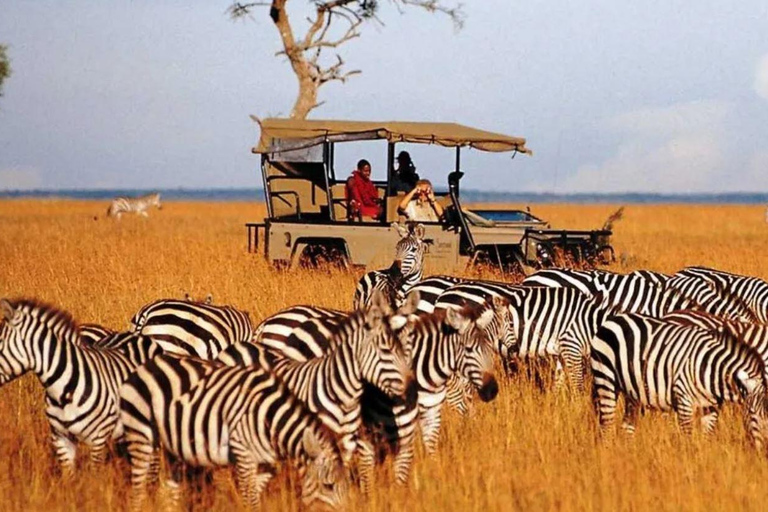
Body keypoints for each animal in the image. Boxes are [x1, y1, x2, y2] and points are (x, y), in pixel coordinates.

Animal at [0, 298, 162, 474]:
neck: (63, 392)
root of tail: (138, 336)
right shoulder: (61, 438)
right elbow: (68, 476)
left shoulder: (98, 438)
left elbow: (94, 474)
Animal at [120, 354, 348, 510]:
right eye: (328, 486)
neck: (270, 421)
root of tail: (146, 365)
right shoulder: (243, 454)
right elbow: (250, 501)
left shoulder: (266, 465)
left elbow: (254, 497)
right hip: (140, 434)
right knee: (137, 491)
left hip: (172, 447)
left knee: (168, 491)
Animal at [588, 310, 768, 446]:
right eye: (752, 414)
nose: (764, 451)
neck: (710, 368)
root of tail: (614, 319)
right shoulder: (684, 401)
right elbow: (688, 440)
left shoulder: (710, 408)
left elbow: (706, 439)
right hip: (606, 379)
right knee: (607, 427)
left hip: (632, 390)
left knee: (627, 426)